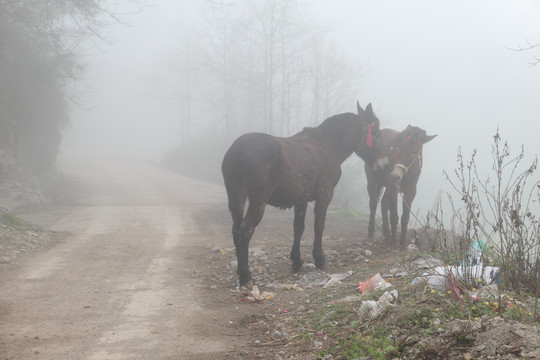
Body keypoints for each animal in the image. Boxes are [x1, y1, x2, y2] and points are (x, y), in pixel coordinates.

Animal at [221, 102, 382, 286]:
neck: (328, 145)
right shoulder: (325, 193)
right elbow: (319, 225)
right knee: (245, 231)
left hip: (236, 198)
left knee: (235, 231)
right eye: (377, 133)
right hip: (258, 201)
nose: (382, 164)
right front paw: (319, 258)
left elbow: (298, 228)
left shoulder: (301, 199)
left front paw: (297, 260)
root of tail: (236, 151)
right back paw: (245, 275)